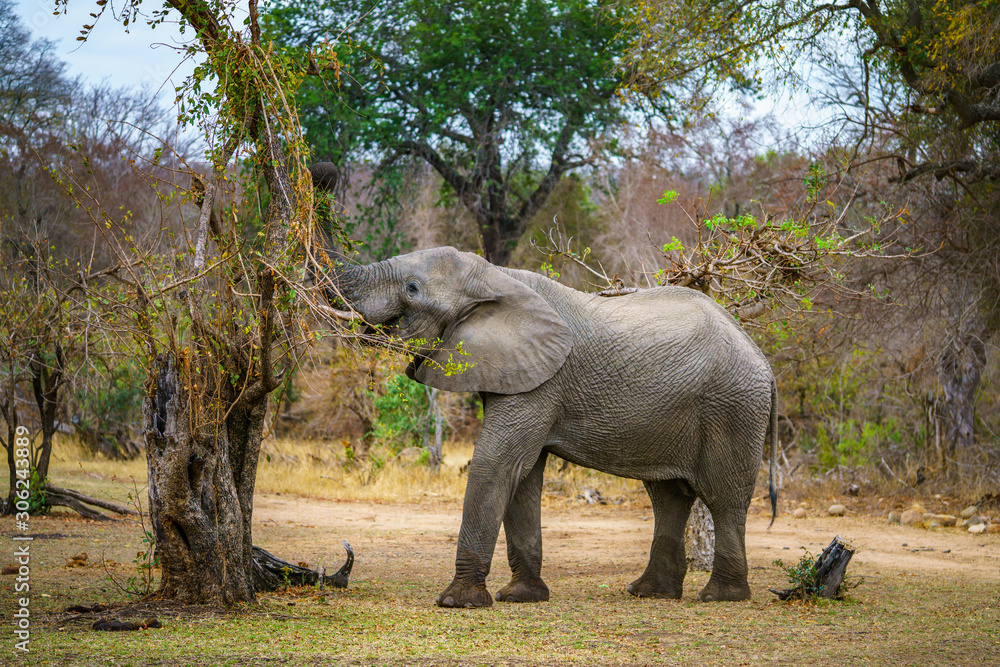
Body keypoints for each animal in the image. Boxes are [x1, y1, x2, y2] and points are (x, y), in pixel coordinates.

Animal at [325, 245, 778, 607]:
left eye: (412, 288)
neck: (496, 276)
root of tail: (761, 357)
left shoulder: (543, 381)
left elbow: (496, 463)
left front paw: (457, 602)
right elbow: (523, 476)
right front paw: (521, 597)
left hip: (733, 405)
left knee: (723, 497)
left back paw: (720, 597)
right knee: (668, 496)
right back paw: (649, 592)